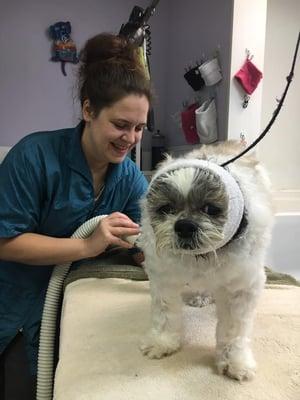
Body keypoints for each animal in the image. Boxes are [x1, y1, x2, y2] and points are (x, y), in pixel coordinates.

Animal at [139, 141, 274, 382]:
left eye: (210, 209)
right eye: (167, 209)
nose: (184, 225)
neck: (201, 257)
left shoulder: (241, 287)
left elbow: (234, 329)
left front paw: (234, 359)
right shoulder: (164, 279)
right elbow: (164, 313)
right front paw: (161, 341)